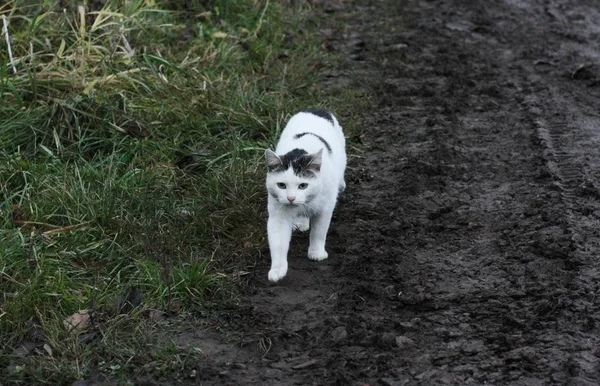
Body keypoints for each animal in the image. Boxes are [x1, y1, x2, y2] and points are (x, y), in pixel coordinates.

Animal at [264, 110, 346, 282]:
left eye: (303, 185)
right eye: (281, 185)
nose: (291, 198)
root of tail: (315, 109)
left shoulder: (325, 209)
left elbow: (319, 232)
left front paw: (316, 253)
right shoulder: (278, 215)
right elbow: (278, 243)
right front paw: (277, 270)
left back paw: (341, 184)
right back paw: (301, 222)